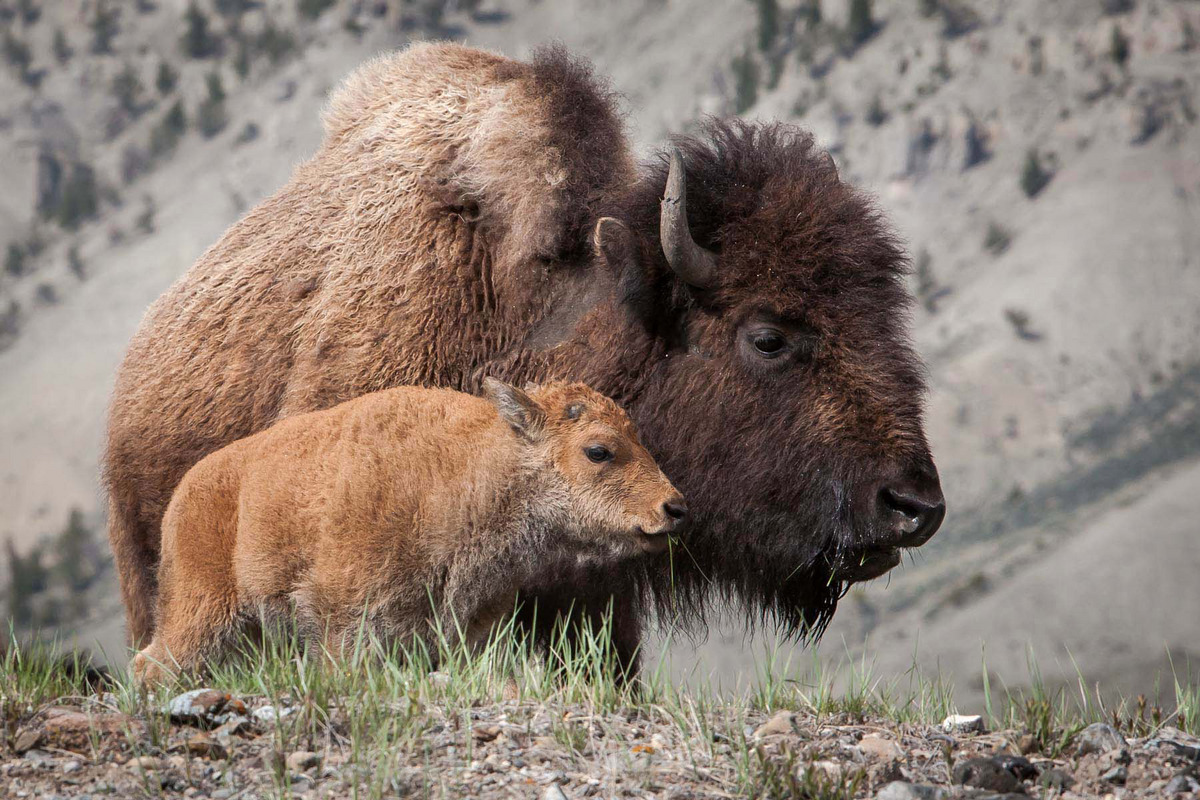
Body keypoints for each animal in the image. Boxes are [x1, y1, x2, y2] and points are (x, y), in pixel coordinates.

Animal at [132, 379, 684, 685]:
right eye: (598, 450)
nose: (674, 507)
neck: (463, 469)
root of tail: (186, 492)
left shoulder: (468, 631)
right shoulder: (345, 626)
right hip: (203, 616)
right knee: (152, 664)